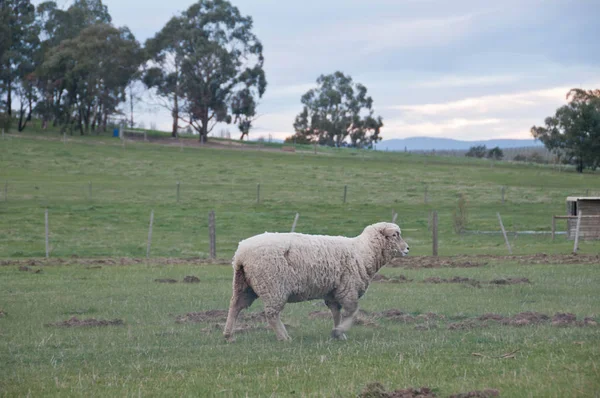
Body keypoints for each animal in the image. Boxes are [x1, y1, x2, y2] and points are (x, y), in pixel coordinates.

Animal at [223, 222, 410, 340]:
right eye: (395, 235)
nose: (408, 249)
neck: (364, 252)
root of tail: (241, 254)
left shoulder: (333, 292)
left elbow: (336, 313)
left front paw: (339, 334)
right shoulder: (348, 288)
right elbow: (352, 312)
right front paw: (340, 331)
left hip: (244, 284)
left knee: (235, 306)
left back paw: (228, 335)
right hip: (273, 285)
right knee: (271, 314)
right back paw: (284, 337)